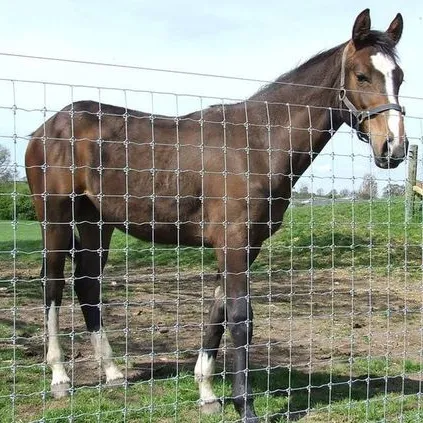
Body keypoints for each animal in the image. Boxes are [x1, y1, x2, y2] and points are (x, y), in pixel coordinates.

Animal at [25, 8, 408, 422]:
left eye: (400, 77)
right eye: (362, 75)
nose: (394, 148)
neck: (257, 143)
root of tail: (45, 128)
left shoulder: (245, 246)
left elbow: (217, 314)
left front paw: (208, 393)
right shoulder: (234, 243)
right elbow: (241, 318)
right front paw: (246, 406)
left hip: (97, 225)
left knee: (87, 284)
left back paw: (113, 373)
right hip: (55, 219)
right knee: (53, 284)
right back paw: (60, 377)